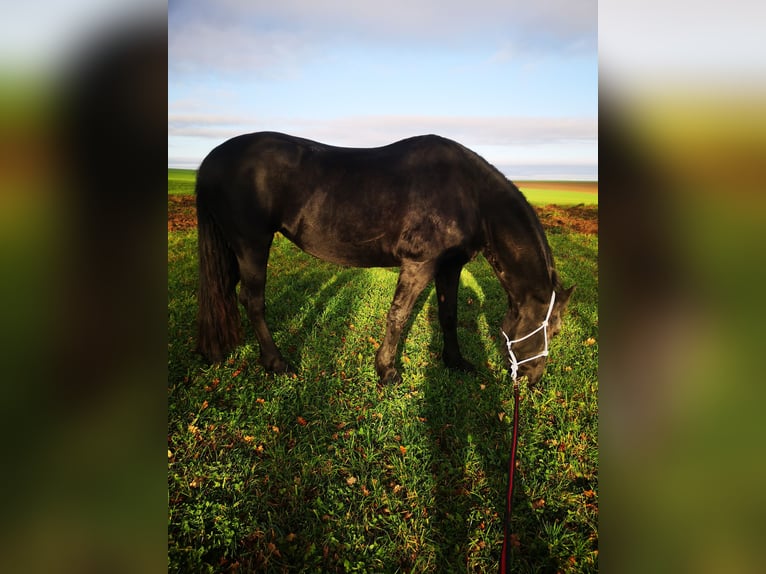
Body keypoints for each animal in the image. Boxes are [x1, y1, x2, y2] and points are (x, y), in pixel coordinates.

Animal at [195, 132, 573, 385]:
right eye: (550, 330)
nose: (532, 379)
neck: (471, 196)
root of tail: (211, 159)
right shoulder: (420, 264)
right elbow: (398, 316)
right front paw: (387, 370)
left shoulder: (450, 266)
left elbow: (448, 315)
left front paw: (455, 361)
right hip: (252, 244)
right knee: (253, 300)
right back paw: (275, 363)